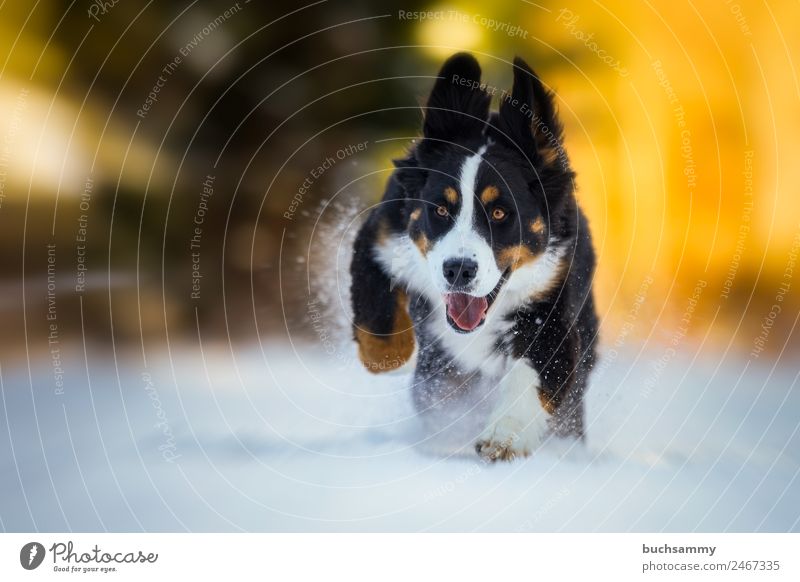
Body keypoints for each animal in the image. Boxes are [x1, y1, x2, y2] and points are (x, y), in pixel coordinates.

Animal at [346, 54, 596, 464]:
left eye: (499, 213)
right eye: (440, 209)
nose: (458, 270)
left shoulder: (551, 304)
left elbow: (532, 374)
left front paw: (503, 436)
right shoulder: (380, 235)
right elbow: (376, 307)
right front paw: (390, 357)